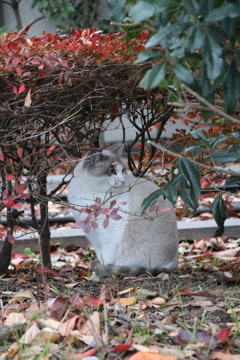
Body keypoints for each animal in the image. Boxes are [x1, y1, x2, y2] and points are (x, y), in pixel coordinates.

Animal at [67, 145, 178, 278]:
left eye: (123, 170)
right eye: (112, 171)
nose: (122, 181)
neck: (90, 193)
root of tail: (174, 262)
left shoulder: (108, 235)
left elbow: (106, 259)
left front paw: (99, 274)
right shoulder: (94, 236)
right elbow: (100, 256)